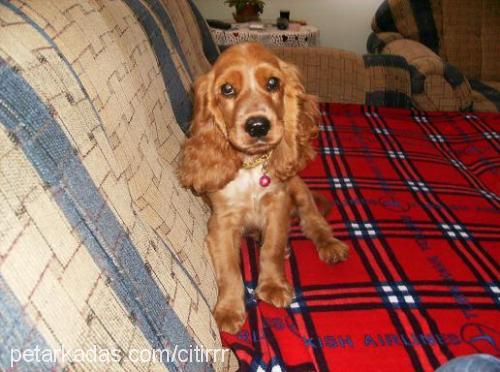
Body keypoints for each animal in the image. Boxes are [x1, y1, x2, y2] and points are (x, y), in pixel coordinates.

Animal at [179, 43, 348, 334]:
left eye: (273, 83)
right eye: (227, 89)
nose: (258, 126)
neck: (251, 167)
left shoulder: (278, 204)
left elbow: (272, 248)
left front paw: (272, 285)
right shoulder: (221, 223)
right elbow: (230, 269)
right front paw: (229, 310)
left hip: (299, 189)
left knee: (313, 222)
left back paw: (329, 245)